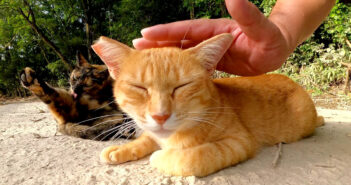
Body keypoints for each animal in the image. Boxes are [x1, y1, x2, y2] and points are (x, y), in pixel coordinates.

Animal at [91, 33, 324, 176]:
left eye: (181, 86)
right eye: (139, 88)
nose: (160, 116)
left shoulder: (239, 142)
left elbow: (195, 157)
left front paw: (161, 156)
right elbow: (147, 137)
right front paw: (122, 148)